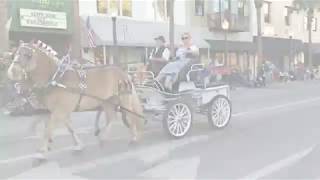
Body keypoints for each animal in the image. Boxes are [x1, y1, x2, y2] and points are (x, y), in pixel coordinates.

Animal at [6, 41, 144, 154]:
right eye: (15, 53)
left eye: (28, 55)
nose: (12, 71)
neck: (57, 79)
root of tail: (123, 72)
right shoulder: (61, 111)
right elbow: (69, 128)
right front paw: (78, 145)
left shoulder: (59, 111)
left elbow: (48, 129)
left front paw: (42, 151)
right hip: (108, 101)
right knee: (111, 118)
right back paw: (103, 138)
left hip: (124, 99)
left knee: (131, 116)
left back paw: (134, 137)